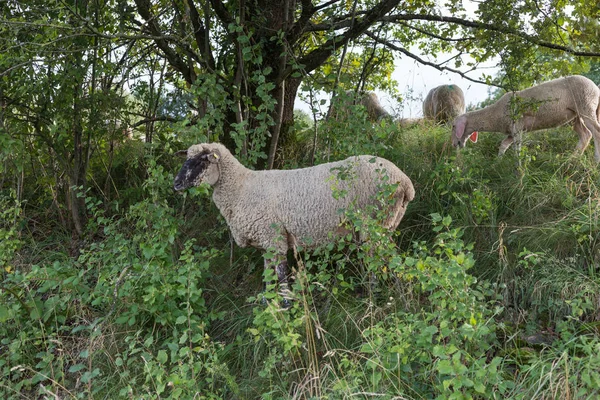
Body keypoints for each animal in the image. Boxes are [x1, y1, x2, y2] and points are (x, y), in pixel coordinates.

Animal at [173, 144, 414, 304]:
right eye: (186, 159)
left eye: (202, 161)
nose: (176, 184)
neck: (240, 188)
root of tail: (405, 182)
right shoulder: (266, 242)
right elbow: (268, 275)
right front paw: (268, 303)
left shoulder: (274, 237)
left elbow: (280, 275)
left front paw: (287, 305)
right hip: (385, 224)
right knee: (387, 258)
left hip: (375, 222)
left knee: (378, 259)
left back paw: (374, 296)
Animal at [452, 76, 600, 162]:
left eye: (453, 126)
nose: (454, 145)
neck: (494, 115)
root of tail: (596, 88)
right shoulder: (513, 130)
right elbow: (503, 145)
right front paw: (498, 162)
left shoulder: (516, 126)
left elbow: (517, 148)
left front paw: (518, 167)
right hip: (576, 116)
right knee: (585, 134)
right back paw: (572, 159)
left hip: (586, 105)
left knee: (596, 132)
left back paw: (596, 161)